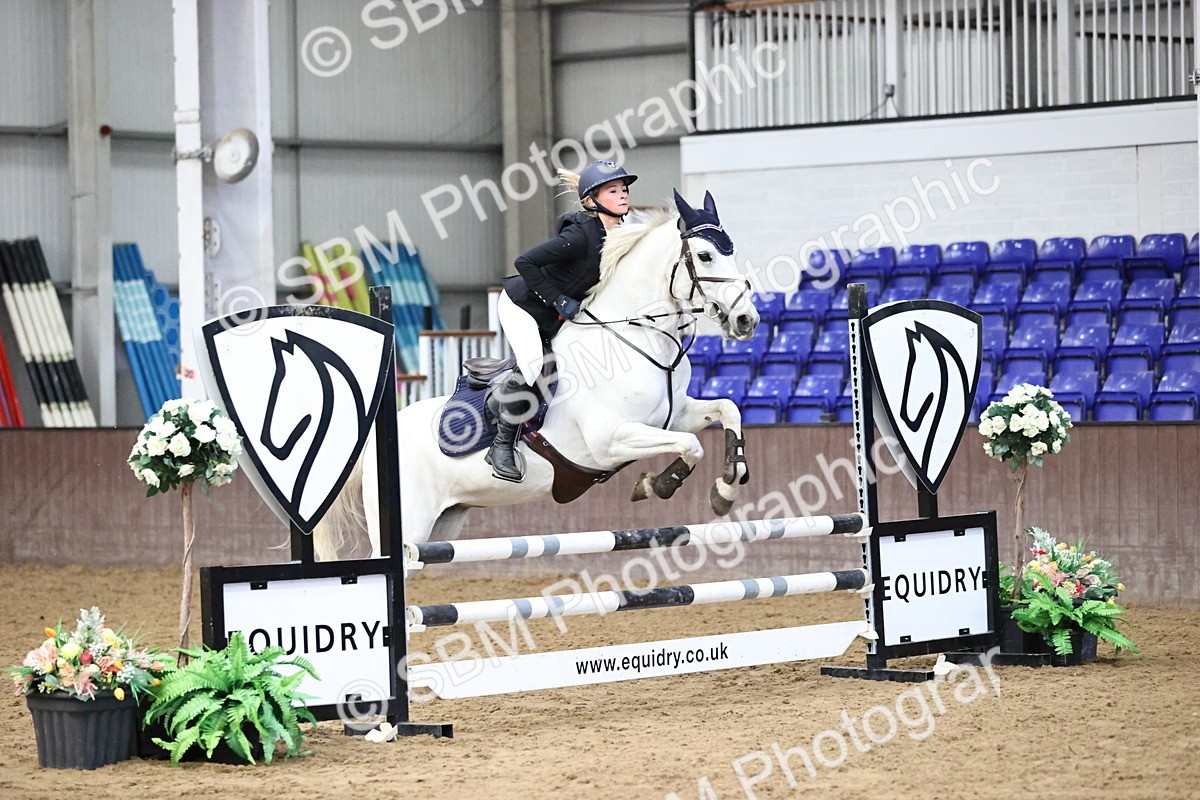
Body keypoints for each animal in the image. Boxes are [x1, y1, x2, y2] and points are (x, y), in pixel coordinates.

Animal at [313, 190, 761, 559]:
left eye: (732, 251)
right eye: (705, 256)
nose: (746, 320)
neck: (637, 337)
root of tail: (378, 435)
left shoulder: (675, 415)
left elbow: (727, 410)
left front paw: (727, 486)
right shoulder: (610, 440)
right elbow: (691, 445)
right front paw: (658, 486)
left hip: (443, 524)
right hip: (410, 526)